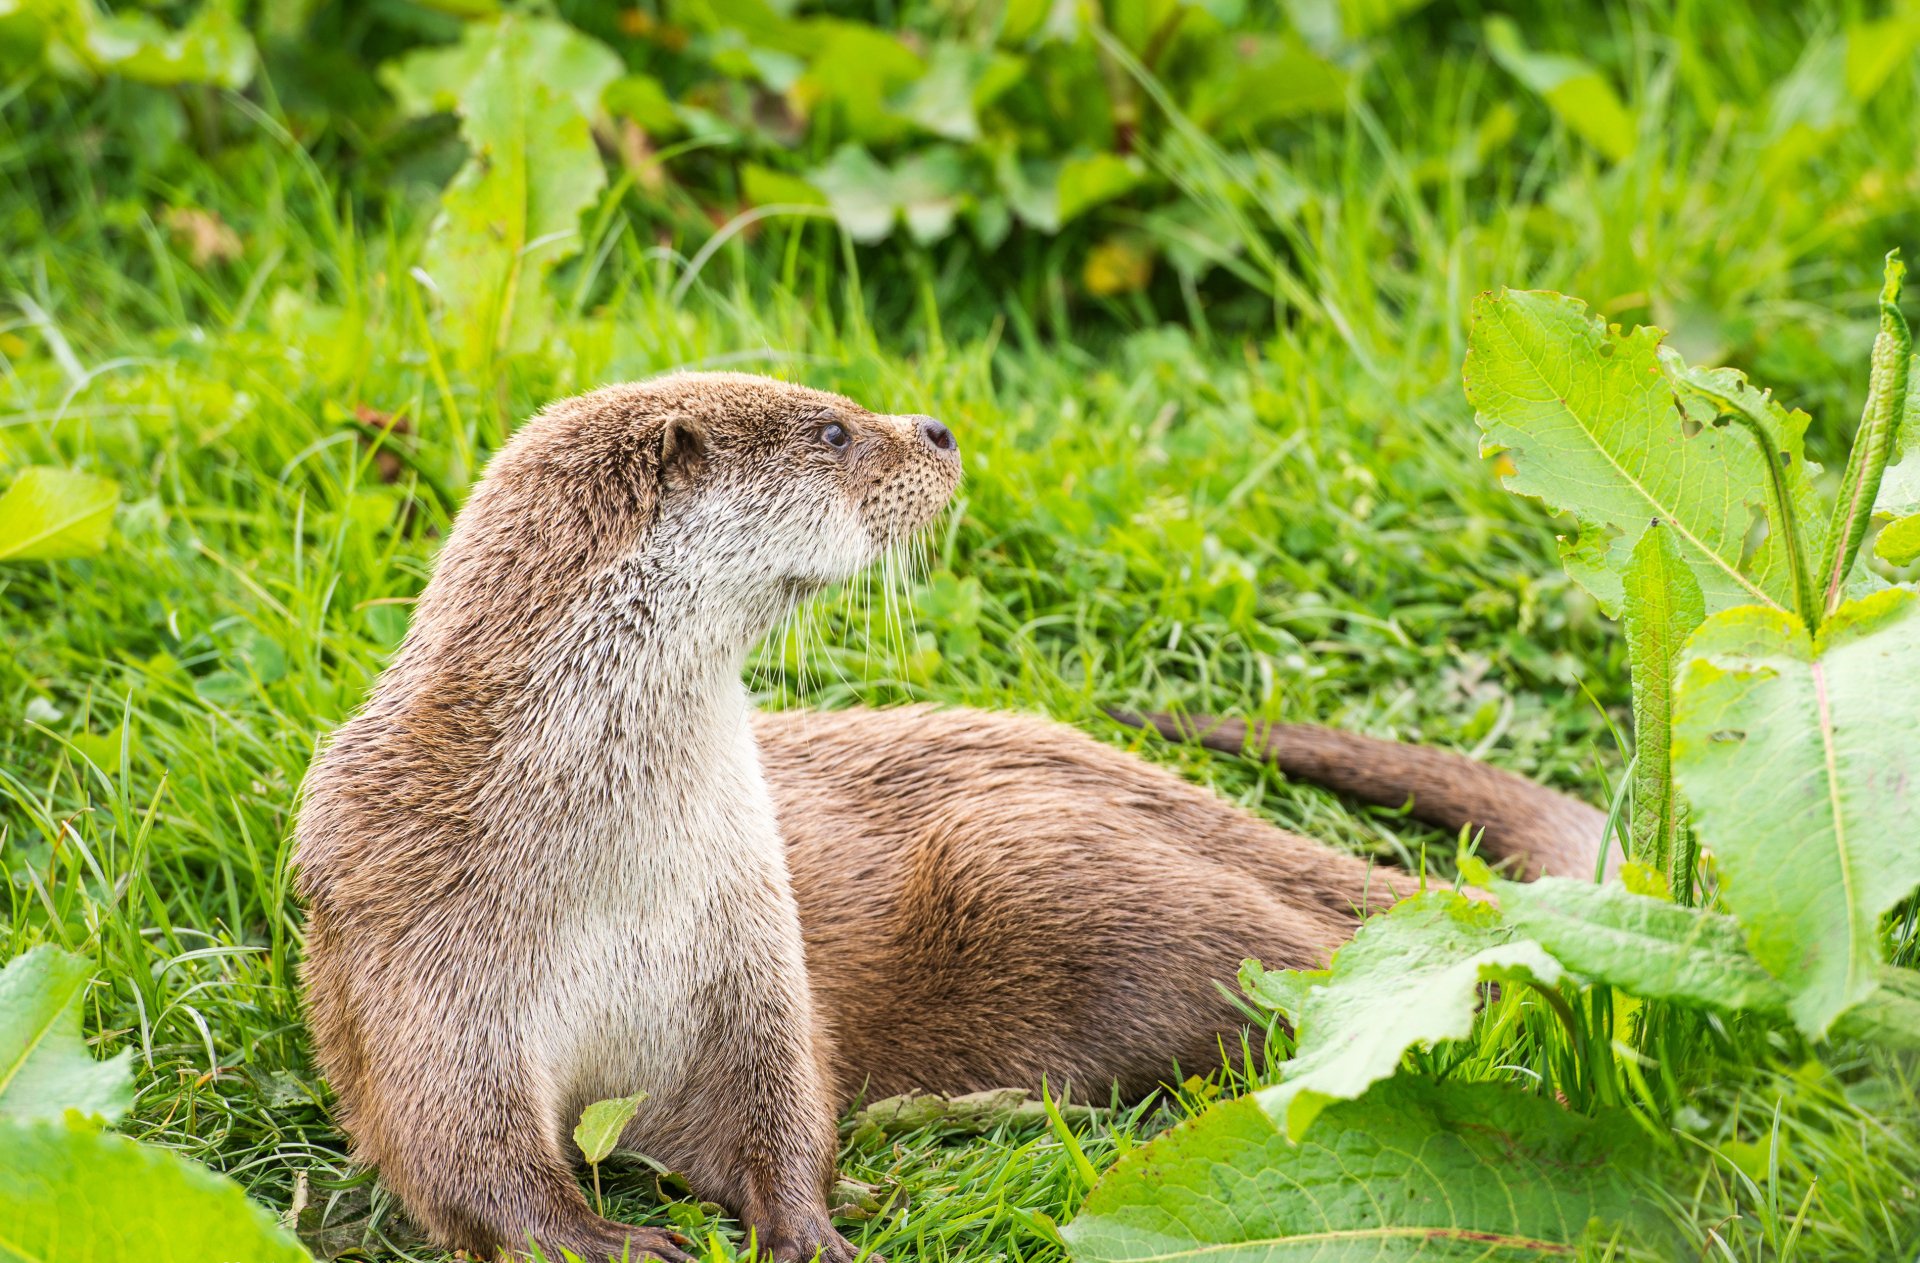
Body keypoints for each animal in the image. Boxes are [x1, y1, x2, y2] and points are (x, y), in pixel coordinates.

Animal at [295, 374, 1608, 1263]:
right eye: (829, 430)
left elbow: (776, 1106)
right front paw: (601, 1237)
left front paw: (807, 1227)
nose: (936, 428)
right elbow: (458, 1151)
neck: (608, 870)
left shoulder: (745, 944)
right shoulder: (417, 950)